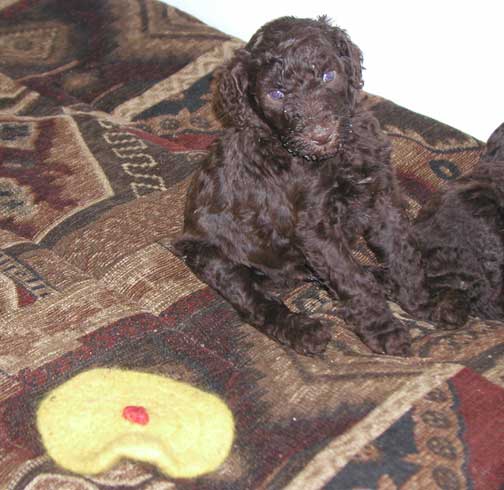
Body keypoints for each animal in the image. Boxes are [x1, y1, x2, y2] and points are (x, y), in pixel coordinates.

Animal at [174, 16, 427, 356]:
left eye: (328, 75)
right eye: (276, 94)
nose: (320, 134)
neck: (333, 156)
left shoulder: (381, 194)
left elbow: (400, 248)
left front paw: (420, 298)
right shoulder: (315, 229)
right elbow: (351, 279)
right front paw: (383, 329)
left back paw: (381, 278)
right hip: (214, 258)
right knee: (255, 304)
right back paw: (303, 331)